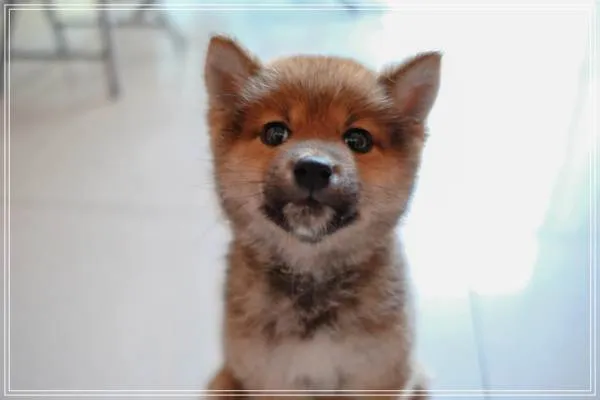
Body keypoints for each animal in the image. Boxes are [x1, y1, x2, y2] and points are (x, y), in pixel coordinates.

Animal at [203, 35, 441, 399]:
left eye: (358, 139)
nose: (314, 168)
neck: (312, 275)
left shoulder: (380, 378)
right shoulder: (274, 380)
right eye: (275, 133)